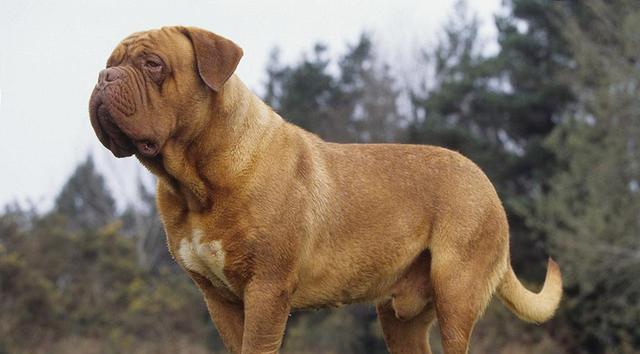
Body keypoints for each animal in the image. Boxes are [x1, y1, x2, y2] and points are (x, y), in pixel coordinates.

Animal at [89, 26, 560, 352]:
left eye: (153, 64)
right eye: (111, 61)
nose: (104, 76)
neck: (195, 180)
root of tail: (486, 182)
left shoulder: (266, 289)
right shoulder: (218, 298)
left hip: (456, 293)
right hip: (400, 317)